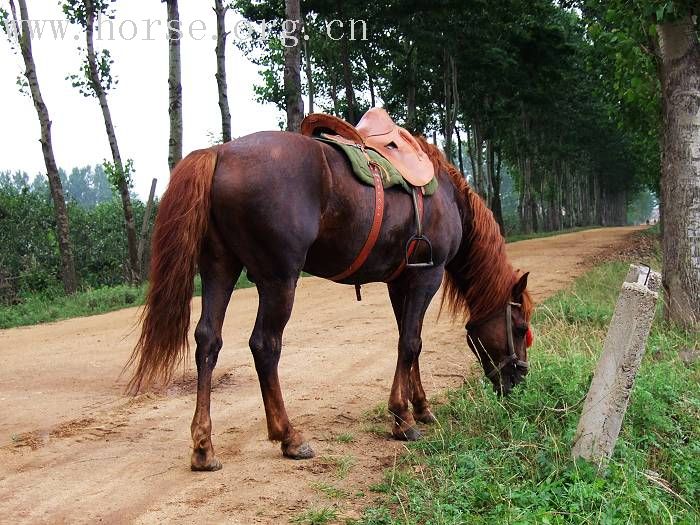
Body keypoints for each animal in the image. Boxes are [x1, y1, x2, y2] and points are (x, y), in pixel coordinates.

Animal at [126, 131, 532, 470]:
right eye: (520, 326)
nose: (517, 382)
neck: (446, 198)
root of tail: (221, 153)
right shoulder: (425, 276)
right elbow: (411, 343)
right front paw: (402, 420)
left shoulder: (400, 282)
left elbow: (409, 343)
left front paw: (421, 408)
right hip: (278, 280)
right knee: (265, 345)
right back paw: (289, 436)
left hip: (219, 269)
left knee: (208, 341)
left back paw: (203, 447)